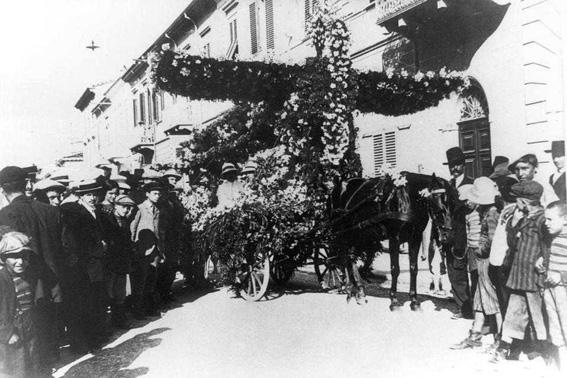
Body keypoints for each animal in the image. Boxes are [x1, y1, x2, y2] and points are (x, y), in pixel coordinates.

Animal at [328, 173, 458, 308]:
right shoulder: (395, 238)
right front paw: (394, 301)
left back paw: (359, 291)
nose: (448, 234)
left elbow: (413, 269)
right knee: (344, 257)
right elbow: (395, 269)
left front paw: (414, 301)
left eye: (454, 203)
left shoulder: (415, 238)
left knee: (350, 257)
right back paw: (348, 289)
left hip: (358, 234)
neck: (408, 196)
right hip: (341, 232)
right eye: (438, 201)